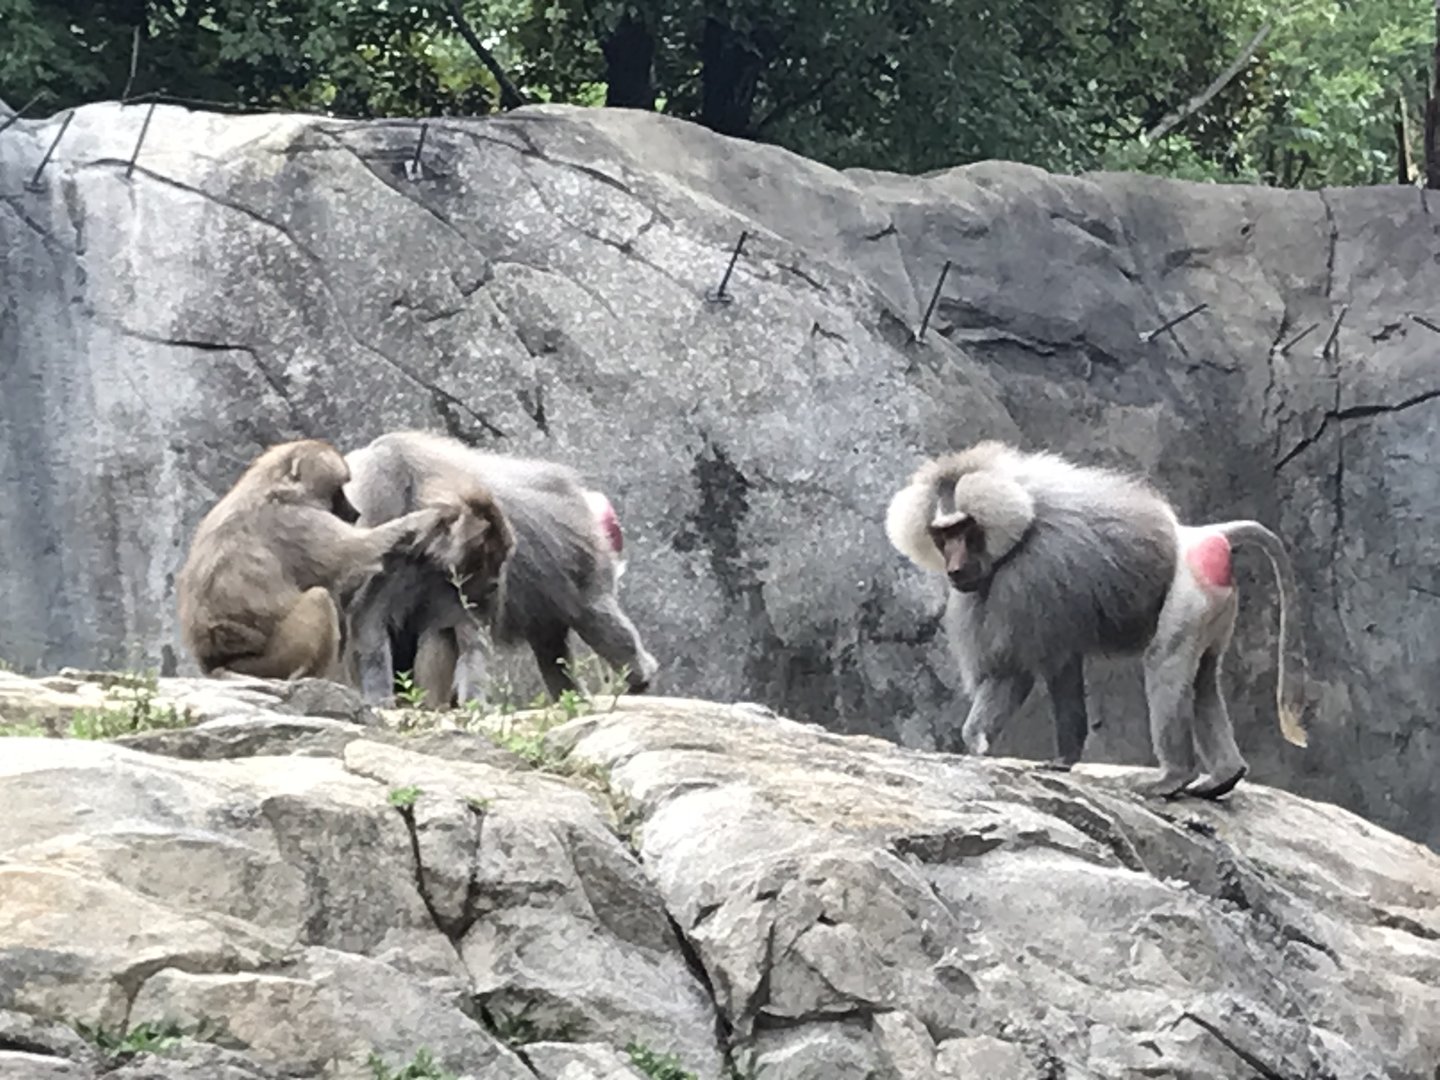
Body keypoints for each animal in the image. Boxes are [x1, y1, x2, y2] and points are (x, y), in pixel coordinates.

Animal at [176, 439, 455, 682]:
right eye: (337, 489)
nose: (354, 512)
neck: (272, 487)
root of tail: (215, 662)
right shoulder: (299, 521)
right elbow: (357, 555)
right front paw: (426, 518)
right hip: (269, 661)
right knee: (319, 599)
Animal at [342, 477, 516, 708]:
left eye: (501, 555)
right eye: (489, 555)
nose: (495, 582)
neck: (433, 563)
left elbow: (472, 642)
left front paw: (474, 700)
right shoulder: (389, 556)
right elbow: (369, 619)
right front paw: (379, 696)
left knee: (439, 632)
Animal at [884, 440, 1309, 800]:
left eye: (964, 528)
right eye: (941, 535)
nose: (955, 571)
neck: (1020, 527)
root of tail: (1207, 535)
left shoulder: (1033, 580)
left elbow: (1053, 671)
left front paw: (1062, 760)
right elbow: (1008, 676)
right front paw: (977, 741)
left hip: (1190, 595)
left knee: (1165, 665)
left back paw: (1174, 777)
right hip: (1214, 606)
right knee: (1203, 678)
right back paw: (1223, 777)